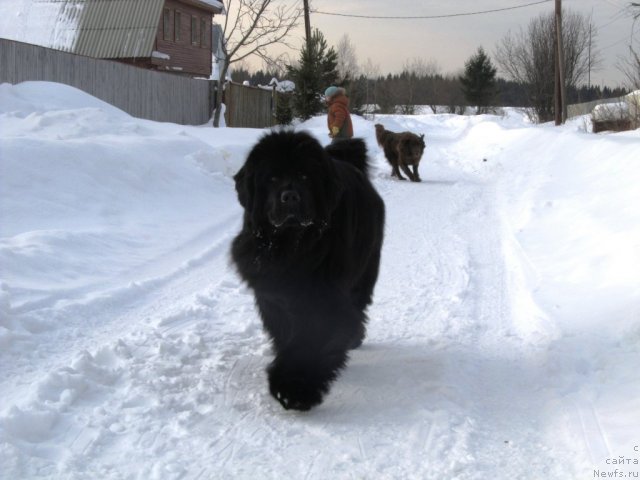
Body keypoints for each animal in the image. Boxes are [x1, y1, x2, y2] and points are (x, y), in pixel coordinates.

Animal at [231, 131, 384, 412]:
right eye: (272, 178)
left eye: (304, 176)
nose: (290, 196)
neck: (291, 246)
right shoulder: (271, 293)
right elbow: (287, 330)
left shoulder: (325, 299)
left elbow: (310, 340)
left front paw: (293, 388)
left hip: (364, 270)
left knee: (357, 306)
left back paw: (354, 338)